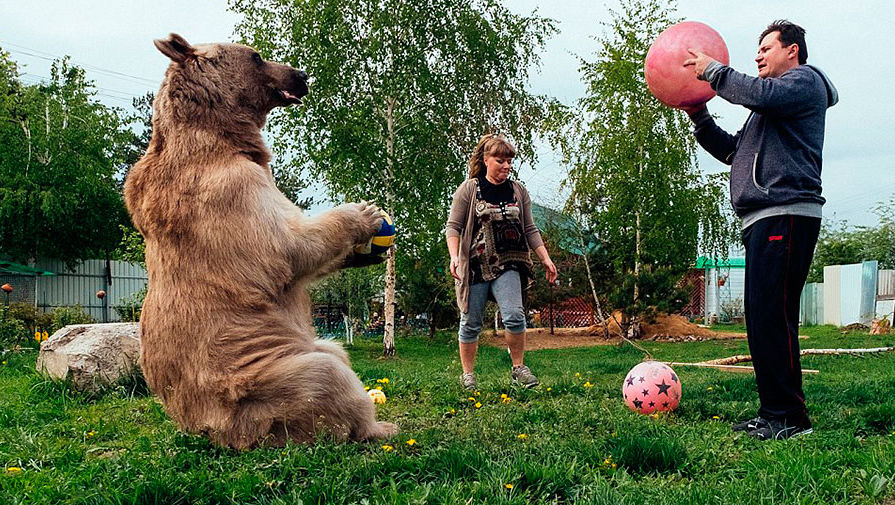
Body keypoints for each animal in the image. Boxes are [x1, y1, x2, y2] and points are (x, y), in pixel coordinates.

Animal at [123, 33, 398, 449]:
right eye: (256, 56)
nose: (302, 74)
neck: (221, 136)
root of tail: (210, 431)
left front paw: (363, 254)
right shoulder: (230, 191)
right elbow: (285, 247)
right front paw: (363, 214)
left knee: (334, 348)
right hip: (261, 386)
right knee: (327, 376)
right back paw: (376, 425)